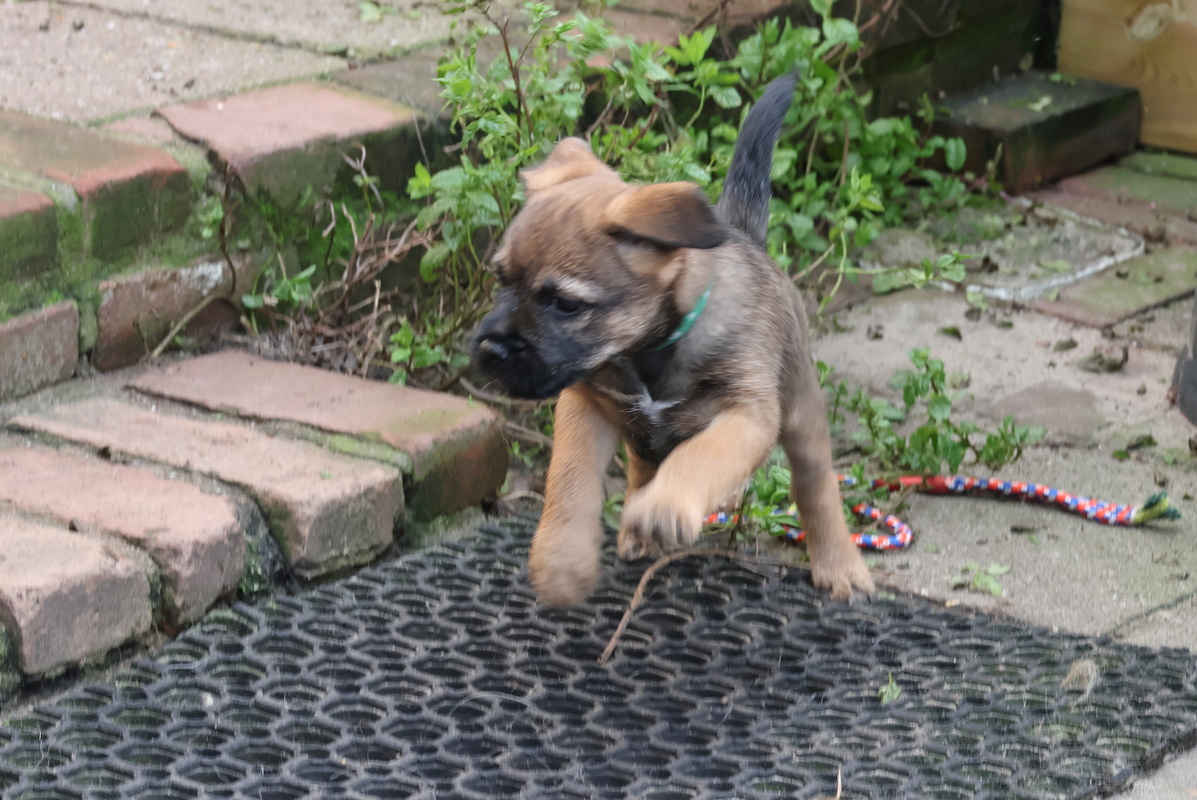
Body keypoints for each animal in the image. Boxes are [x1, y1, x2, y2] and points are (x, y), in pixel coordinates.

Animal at [474, 73, 874, 607]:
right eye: (501, 279)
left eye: (564, 304)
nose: (492, 350)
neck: (649, 351)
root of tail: (746, 234)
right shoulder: (585, 405)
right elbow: (569, 480)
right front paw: (561, 561)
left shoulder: (746, 416)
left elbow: (702, 456)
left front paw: (665, 506)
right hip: (640, 435)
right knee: (641, 464)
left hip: (801, 412)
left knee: (817, 488)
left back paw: (839, 566)